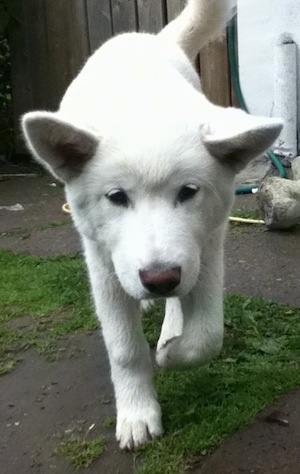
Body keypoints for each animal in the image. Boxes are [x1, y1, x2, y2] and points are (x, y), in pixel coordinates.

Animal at [22, 0, 282, 450]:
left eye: (188, 192)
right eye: (116, 197)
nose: (159, 279)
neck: (143, 106)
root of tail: (147, 38)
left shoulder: (207, 243)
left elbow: (207, 334)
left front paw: (170, 353)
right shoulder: (102, 261)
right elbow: (124, 349)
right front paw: (137, 413)